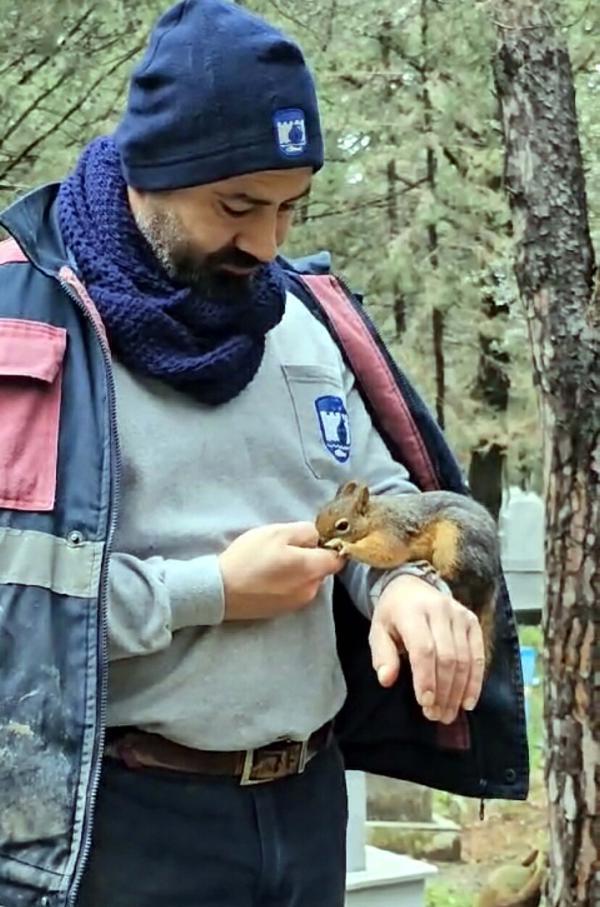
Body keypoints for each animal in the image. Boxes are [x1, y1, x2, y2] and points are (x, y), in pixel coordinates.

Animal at [314, 482, 502, 668]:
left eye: (342, 525)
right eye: (319, 515)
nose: (319, 541)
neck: (375, 515)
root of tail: (492, 577)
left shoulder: (391, 532)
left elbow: (384, 551)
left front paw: (344, 545)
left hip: (458, 541)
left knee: (457, 570)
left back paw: (435, 570)